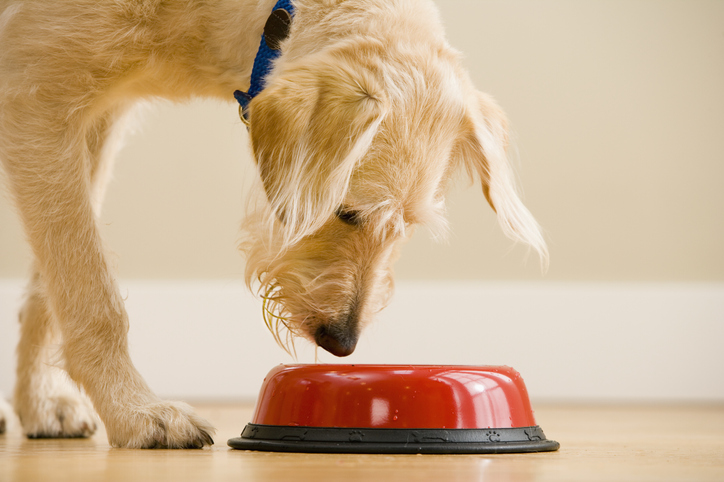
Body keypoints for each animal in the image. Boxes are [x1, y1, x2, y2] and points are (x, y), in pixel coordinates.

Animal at [0, 0, 544, 448]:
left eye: (406, 227)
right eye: (346, 211)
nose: (341, 343)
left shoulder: (93, 119)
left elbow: (51, 285)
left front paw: (40, 402)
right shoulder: (37, 96)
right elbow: (90, 289)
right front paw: (135, 412)